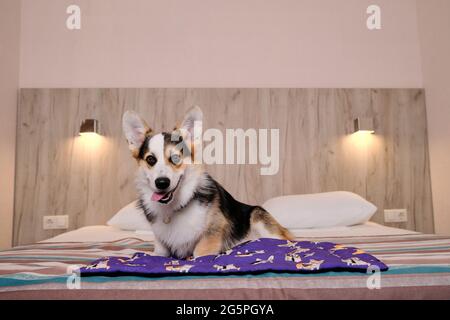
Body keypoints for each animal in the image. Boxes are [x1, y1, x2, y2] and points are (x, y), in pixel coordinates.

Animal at [123, 106, 292, 258]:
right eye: (151, 159)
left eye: (175, 158)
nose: (162, 183)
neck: (174, 207)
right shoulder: (160, 245)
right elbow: (158, 254)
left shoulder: (216, 227)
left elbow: (200, 252)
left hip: (258, 216)